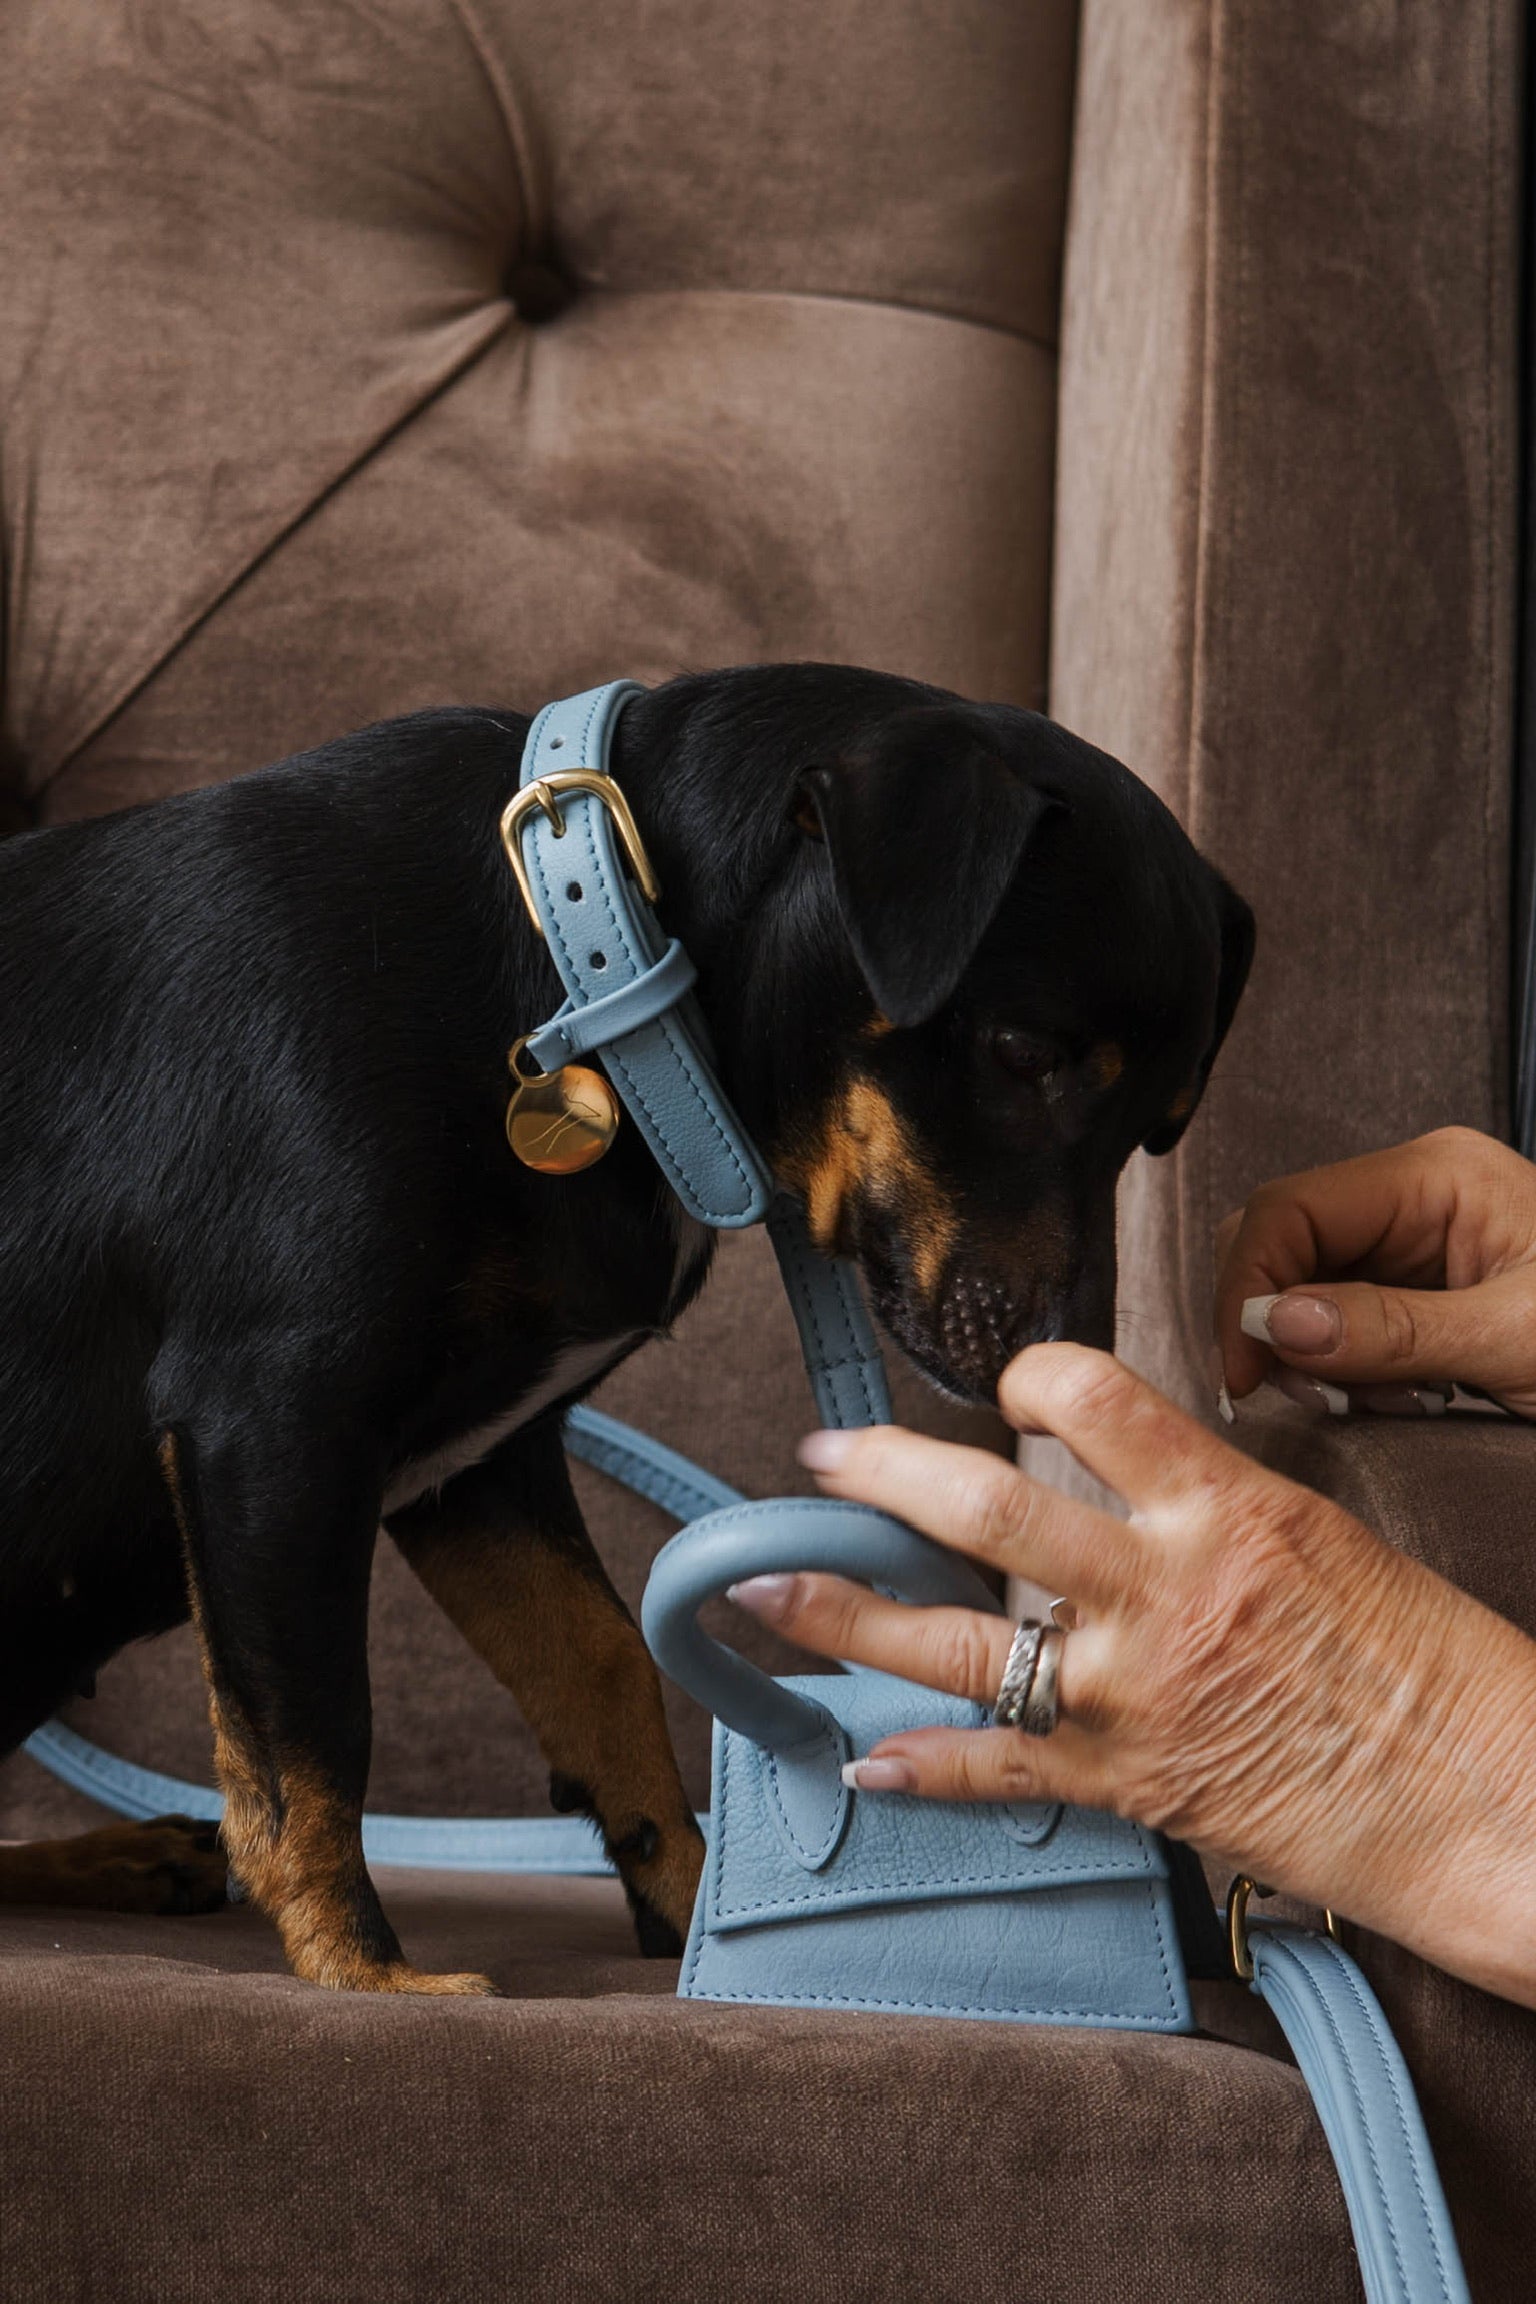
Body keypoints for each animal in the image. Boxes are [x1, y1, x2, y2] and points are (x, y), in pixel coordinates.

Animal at [0, 658, 1252, 1990]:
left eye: (1162, 1129)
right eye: (1022, 1053)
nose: (1063, 1371)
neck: (588, 971)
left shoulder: (478, 1462)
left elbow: (600, 1663)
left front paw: (700, 1906)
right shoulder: (270, 1418)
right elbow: (312, 1740)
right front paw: (365, 1975)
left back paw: (123, 1860)